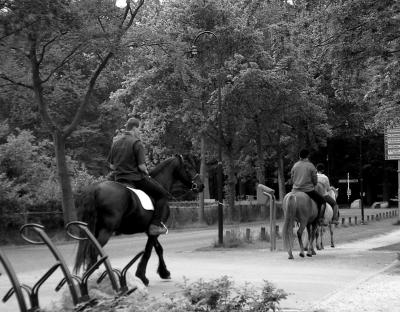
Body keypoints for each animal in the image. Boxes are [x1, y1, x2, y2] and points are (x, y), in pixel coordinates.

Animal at [72, 154, 203, 286]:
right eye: (188, 167)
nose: (201, 186)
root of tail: (96, 189)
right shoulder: (153, 231)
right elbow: (148, 251)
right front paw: (142, 276)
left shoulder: (150, 230)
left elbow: (158, 249)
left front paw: (164, 272)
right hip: (106, 230)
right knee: (94, 251)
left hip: (94, 230)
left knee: (90, 252)